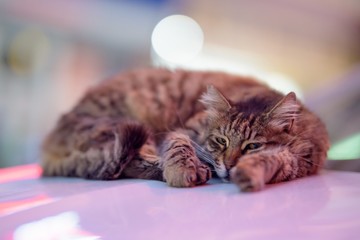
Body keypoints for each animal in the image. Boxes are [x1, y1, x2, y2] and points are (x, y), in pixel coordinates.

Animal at [41, 67, 330, 191]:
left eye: (252, 146)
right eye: (221, 141)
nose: (228, 166)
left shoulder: (299, 159)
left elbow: (273, 160)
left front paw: (249, 173)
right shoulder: (180, 131)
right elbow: (179, 148)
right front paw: (184, 171)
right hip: (122, 125)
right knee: (130, 161)